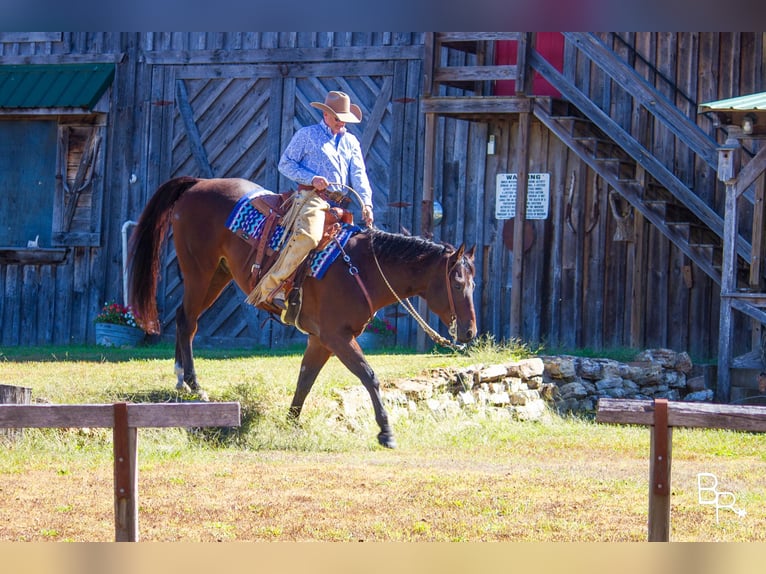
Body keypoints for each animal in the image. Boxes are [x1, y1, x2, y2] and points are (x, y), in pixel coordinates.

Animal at [129, 177, 476, 450]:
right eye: (458, 284)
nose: (470, 331)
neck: (362, 269)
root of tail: (198, 183)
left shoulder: (321, 341)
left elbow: (305, 379)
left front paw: (291, 421)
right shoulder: (337, 337)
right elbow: (369, 376)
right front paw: (386, 431)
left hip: (218, 274)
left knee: (184, 317)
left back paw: (181, 379)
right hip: (199, 271)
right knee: (188, 321)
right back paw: (193, 383)